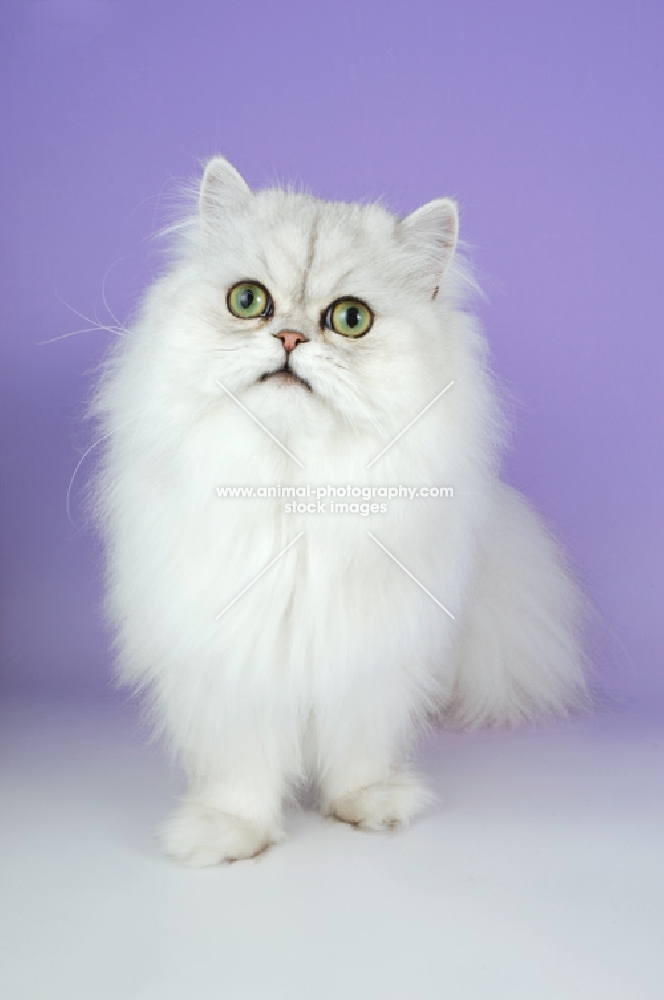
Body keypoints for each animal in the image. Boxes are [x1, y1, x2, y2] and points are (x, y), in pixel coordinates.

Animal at [89, 158, 588, 868]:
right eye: (248, 301)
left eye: (350, 319)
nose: (290, 336)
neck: (298, 486)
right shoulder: (231, 663)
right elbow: (241, 771)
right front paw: (228, 837)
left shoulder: (370, 659)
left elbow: (358, 752)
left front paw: (369, 807)